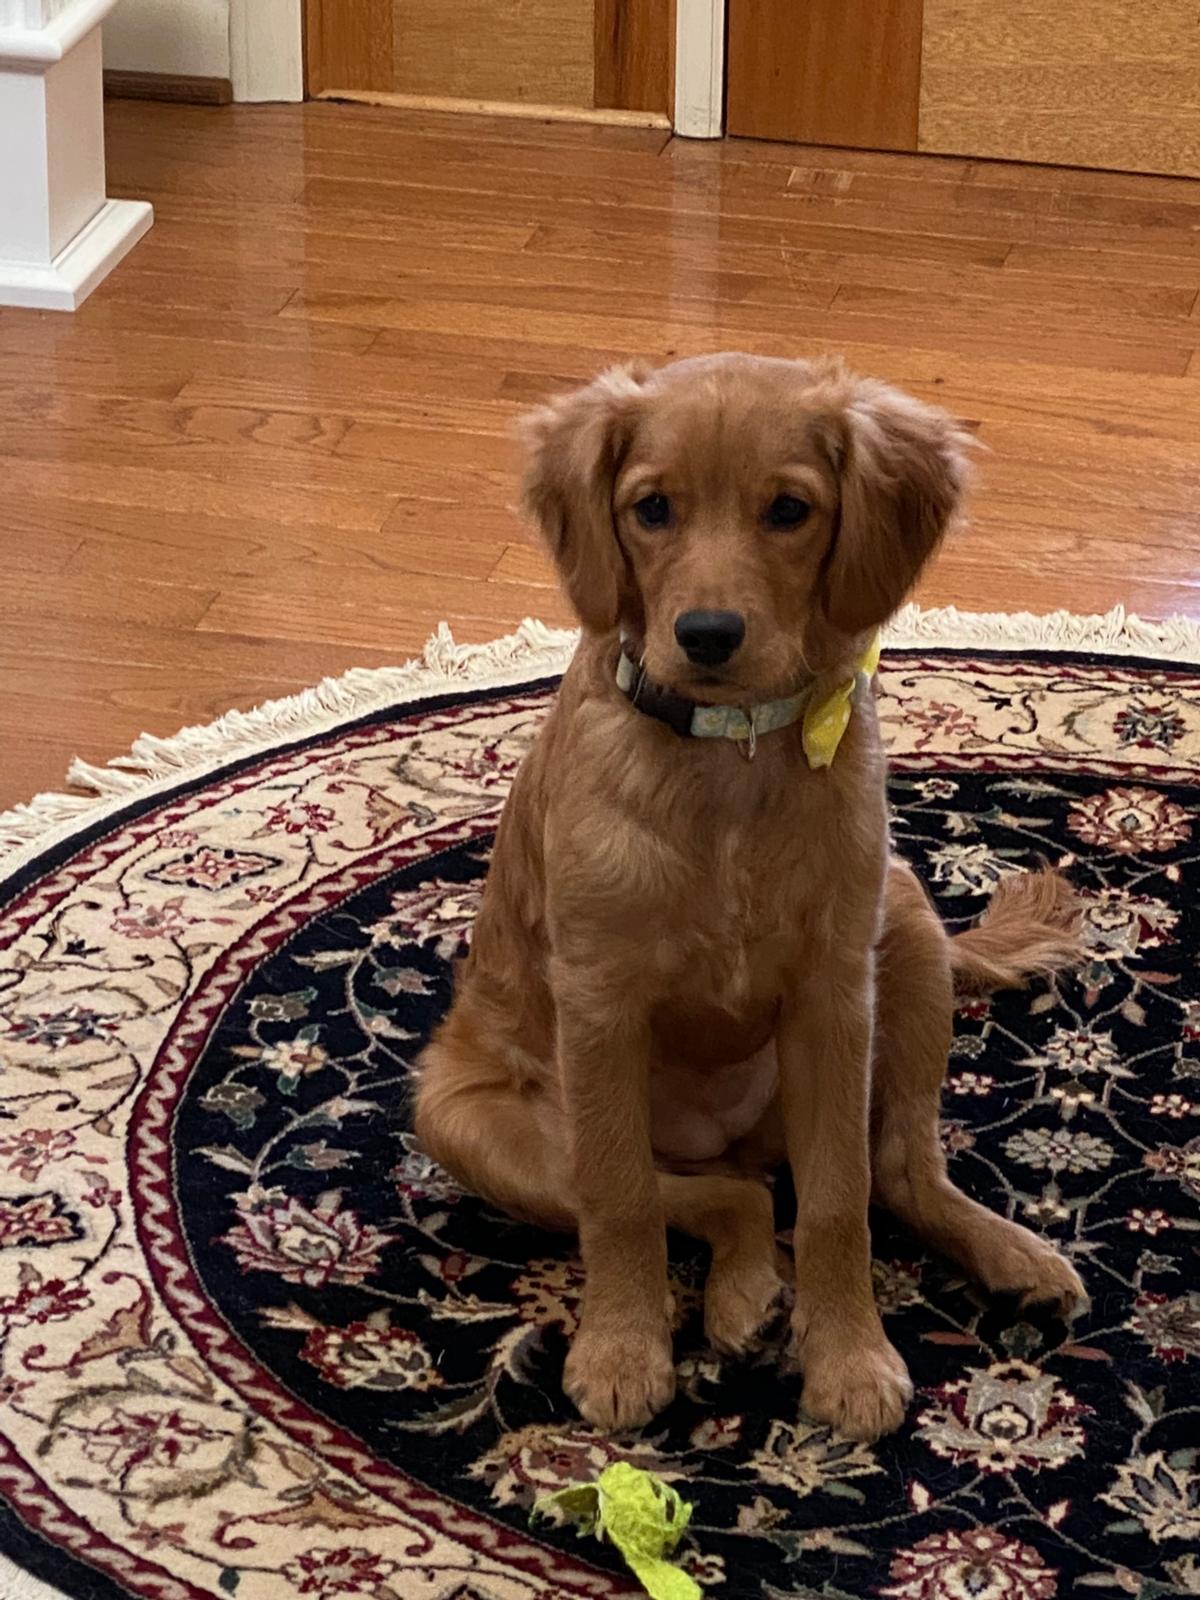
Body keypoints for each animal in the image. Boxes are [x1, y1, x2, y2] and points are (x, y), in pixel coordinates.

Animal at [416, 350, 1088, 1440]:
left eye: (788, 509)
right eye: (652, 508)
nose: (707, 634)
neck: (727, 763)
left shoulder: (834, 997)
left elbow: (837, 1200)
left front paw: (850, 1356)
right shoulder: (599, 1005)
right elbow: (619, 1198)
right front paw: (621, 1348)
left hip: (907, 931)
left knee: (889, 1171)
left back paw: (1002, 1253)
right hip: (469, 1122)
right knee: (712, 1193)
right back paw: (739, 1293)